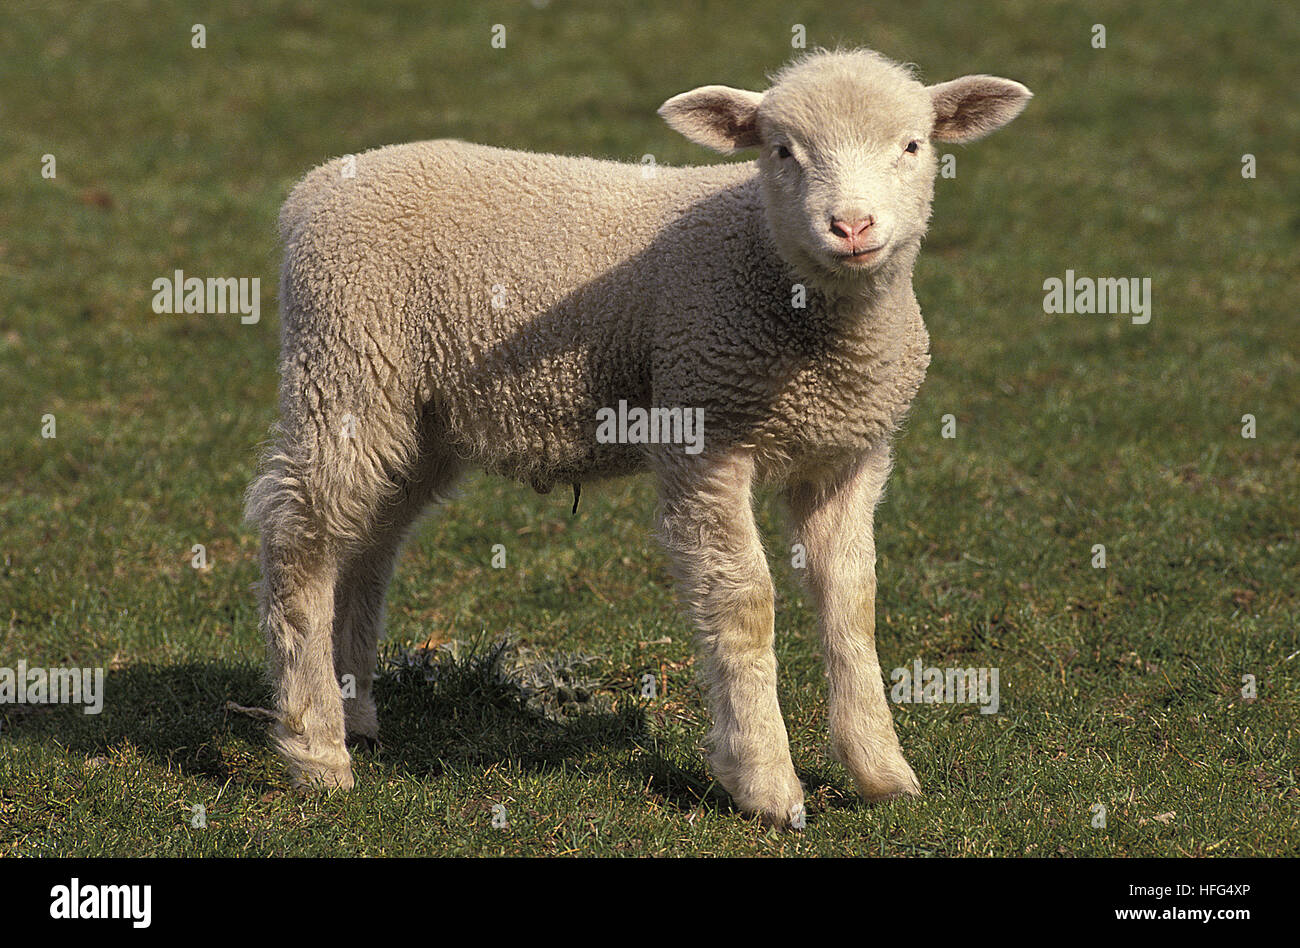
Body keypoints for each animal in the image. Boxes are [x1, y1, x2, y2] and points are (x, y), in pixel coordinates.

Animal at [248, 48, 1029, 827]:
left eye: (913, 146)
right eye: (782, 151)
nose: (853, 227)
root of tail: (312, 190)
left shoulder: (847, 452)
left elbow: (853, 599)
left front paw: (880, 769)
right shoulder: (704, 432)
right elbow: (743, 602)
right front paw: (765, 782)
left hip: (417, 417)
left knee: (366, 545)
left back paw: (355, 714)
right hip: (344, 370)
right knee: (301, 541)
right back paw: (316, 748)